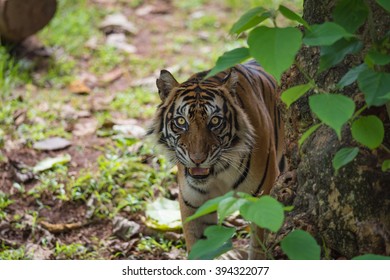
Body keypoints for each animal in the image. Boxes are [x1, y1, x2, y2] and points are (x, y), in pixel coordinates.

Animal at [148, 60, 284, 260]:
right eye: (181, 121)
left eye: (215, 121)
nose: (197, 159)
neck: (220, 170)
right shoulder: (194, 204)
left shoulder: (262, 202)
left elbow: (259, 249)